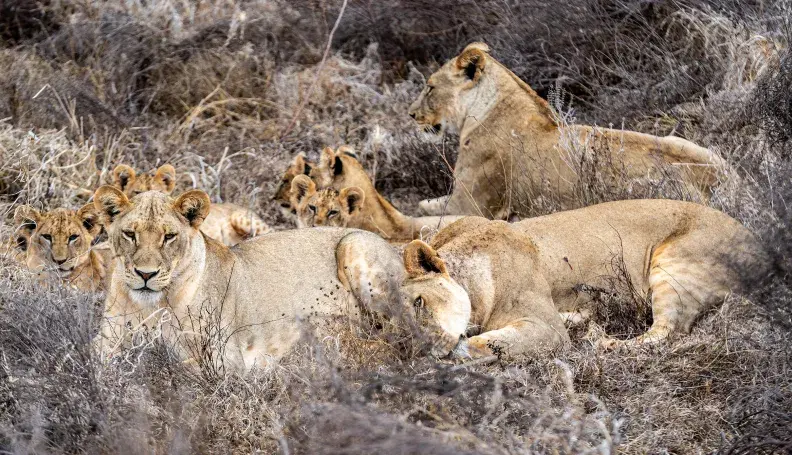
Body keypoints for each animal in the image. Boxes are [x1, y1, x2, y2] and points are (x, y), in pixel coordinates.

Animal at [92, 186, 438, 372]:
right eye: (130, 234)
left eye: (169, 237)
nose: (145, 274)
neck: (150, 307)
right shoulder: (104, 342)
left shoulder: (222, 357)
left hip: (354, 246)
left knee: (403, 337)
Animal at [399, 199, 772, 359]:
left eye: (419, 303)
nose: (419, 349)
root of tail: (763, 249)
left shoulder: (545, 327)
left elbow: (485, 342)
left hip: (675, 266)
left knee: (666, 332)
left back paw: (602, 342)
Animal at [408, 42, 731, 219]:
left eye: (430, 87)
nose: (411, 114)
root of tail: (721, 183)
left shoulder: (469, 205)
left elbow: (422, 207)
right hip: (683, 141)